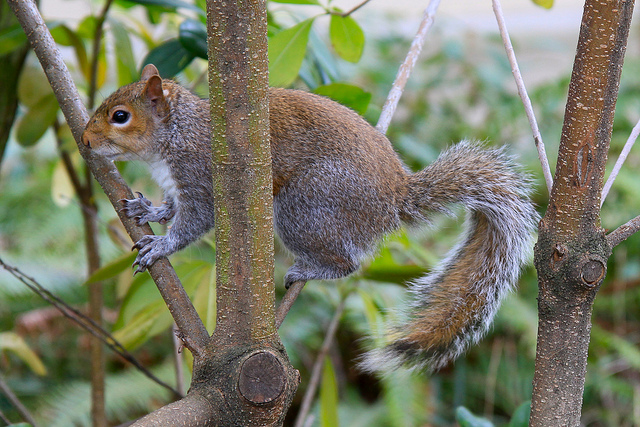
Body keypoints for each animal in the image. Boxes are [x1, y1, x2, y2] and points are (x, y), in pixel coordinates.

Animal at [82, 63, 536, 372]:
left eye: (120, 116)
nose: (84, 140)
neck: (176, 135)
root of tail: (394, 199)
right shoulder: (179, 186)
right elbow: (172, 209)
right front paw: (146, 210)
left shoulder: (202, 177)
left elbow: (194, 222)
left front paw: (161, 245)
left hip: (307, 206)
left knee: (348, 263)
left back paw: (310, 269)